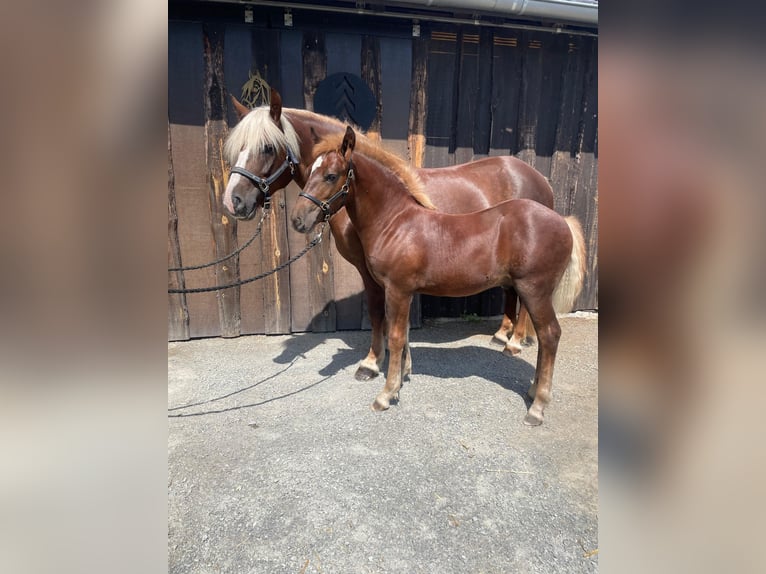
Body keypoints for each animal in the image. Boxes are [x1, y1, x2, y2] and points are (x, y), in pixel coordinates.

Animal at [225, 91, 556, 382]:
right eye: (238, 147)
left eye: (268, 147)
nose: (234, 201)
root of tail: (538, 178)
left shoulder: (370, 271)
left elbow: (376, 312)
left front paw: (372, 364)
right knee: (512, 293)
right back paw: (502, 335)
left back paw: (515, 342)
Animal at [294, 130, 588, 428]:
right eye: (309, 171)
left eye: (331, 175)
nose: (298, 220)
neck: (395, 223)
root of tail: (561, 221)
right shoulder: (403, 291)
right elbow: (404, 333)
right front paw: (400, 380)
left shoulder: (397, 289)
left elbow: (396, 337)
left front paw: (385, 394)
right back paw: (532, 391)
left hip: (535, 290)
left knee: (549, 335)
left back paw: (537, 407)